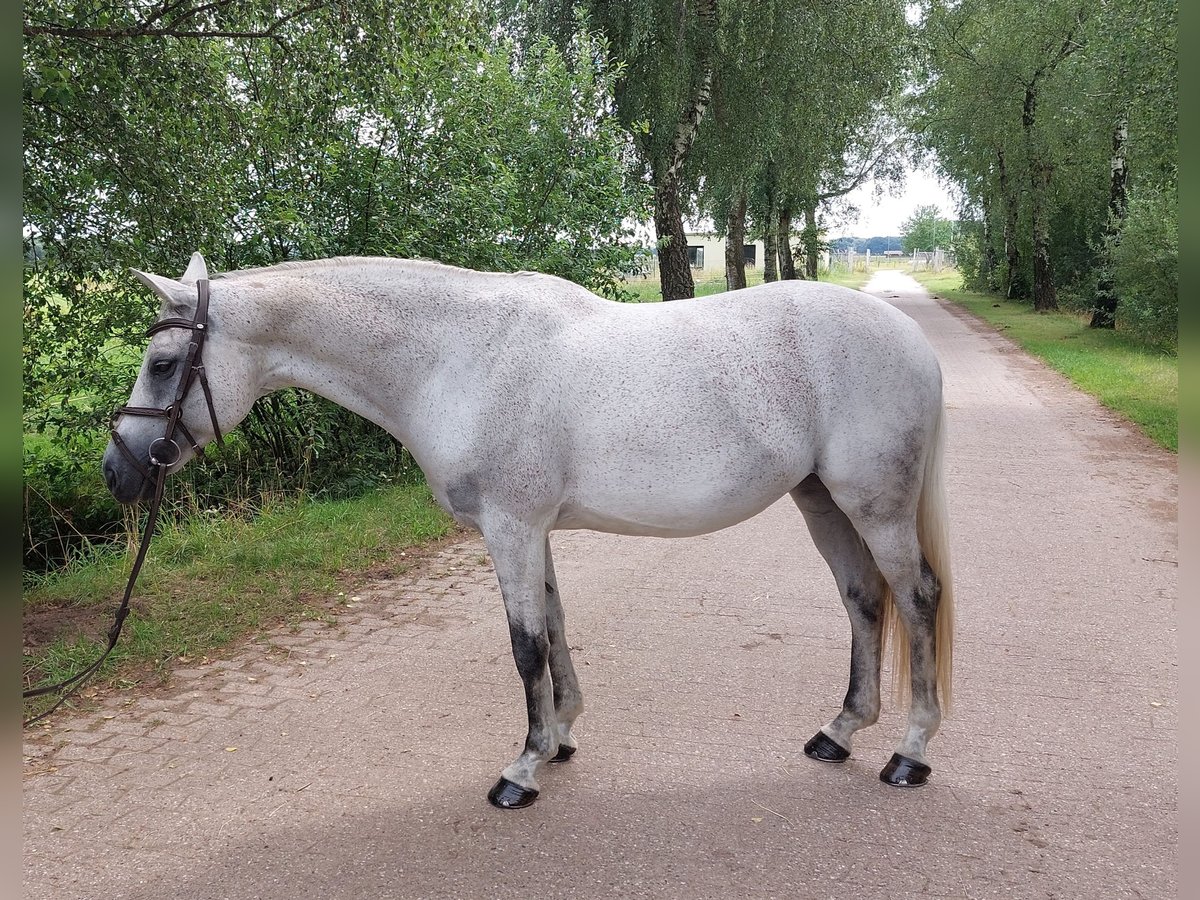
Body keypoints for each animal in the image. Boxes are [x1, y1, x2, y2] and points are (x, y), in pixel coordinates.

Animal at [108, 254, 960, 811]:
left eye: (163, 362)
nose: (118, 473)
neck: (458, 358)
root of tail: (910, 339)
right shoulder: (531, 530)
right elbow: (553, 627)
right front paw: (560, 736)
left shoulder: (510, 528)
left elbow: (524, 646)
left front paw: (521, 769)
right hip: (823, 502)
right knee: (863, 599)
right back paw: (839, 731)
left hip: (875, 505)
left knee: (916, 597)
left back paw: (909, 753)